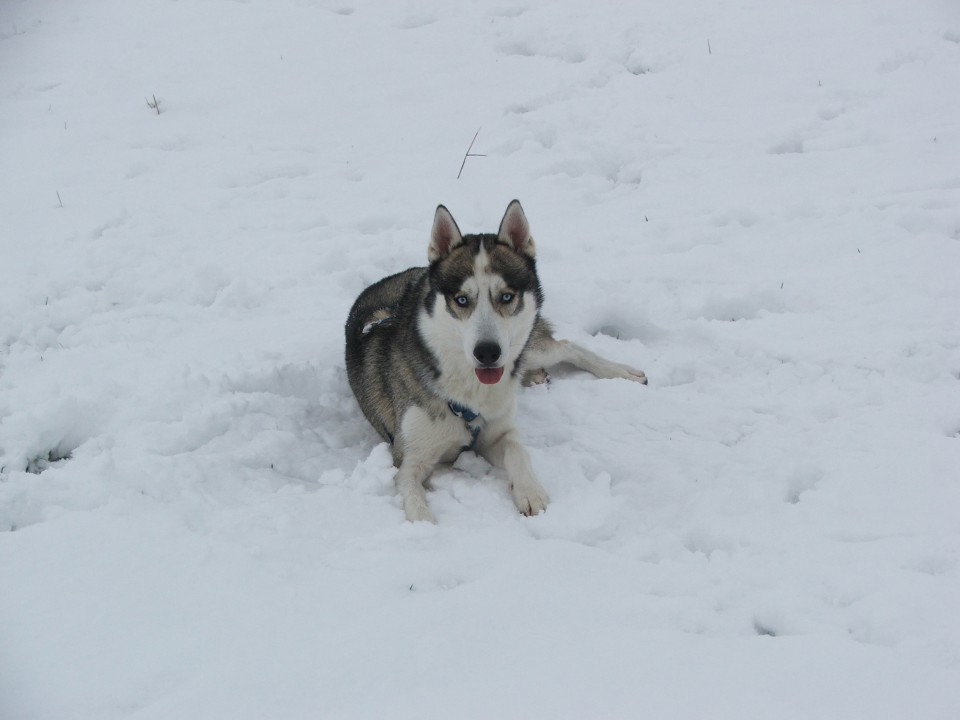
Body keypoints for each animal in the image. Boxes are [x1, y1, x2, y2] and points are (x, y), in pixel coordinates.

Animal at [344, 200, 644, 520]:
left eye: (507, 296)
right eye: (462, 300)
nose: (487, 352)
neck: (470, 396)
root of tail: (414, 273)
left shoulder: (498, 434)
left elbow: (517, 451)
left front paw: (530, 492)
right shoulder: (408, 459)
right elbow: (415, 501)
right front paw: (425, 525)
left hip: (529, 347)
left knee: (568, 346)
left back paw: (623, 372)